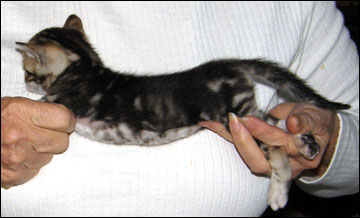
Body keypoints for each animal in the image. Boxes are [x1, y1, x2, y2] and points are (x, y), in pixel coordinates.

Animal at [15, 14, 350, 210]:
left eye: (28, 72)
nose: (24, 82)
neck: (84, 67)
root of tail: (231, 65)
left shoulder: (62, 103)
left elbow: (46, 101)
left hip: (237, 116)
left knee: (277, 148)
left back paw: (278, 192)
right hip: (246, 112)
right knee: (278, 123)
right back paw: (308, 144)